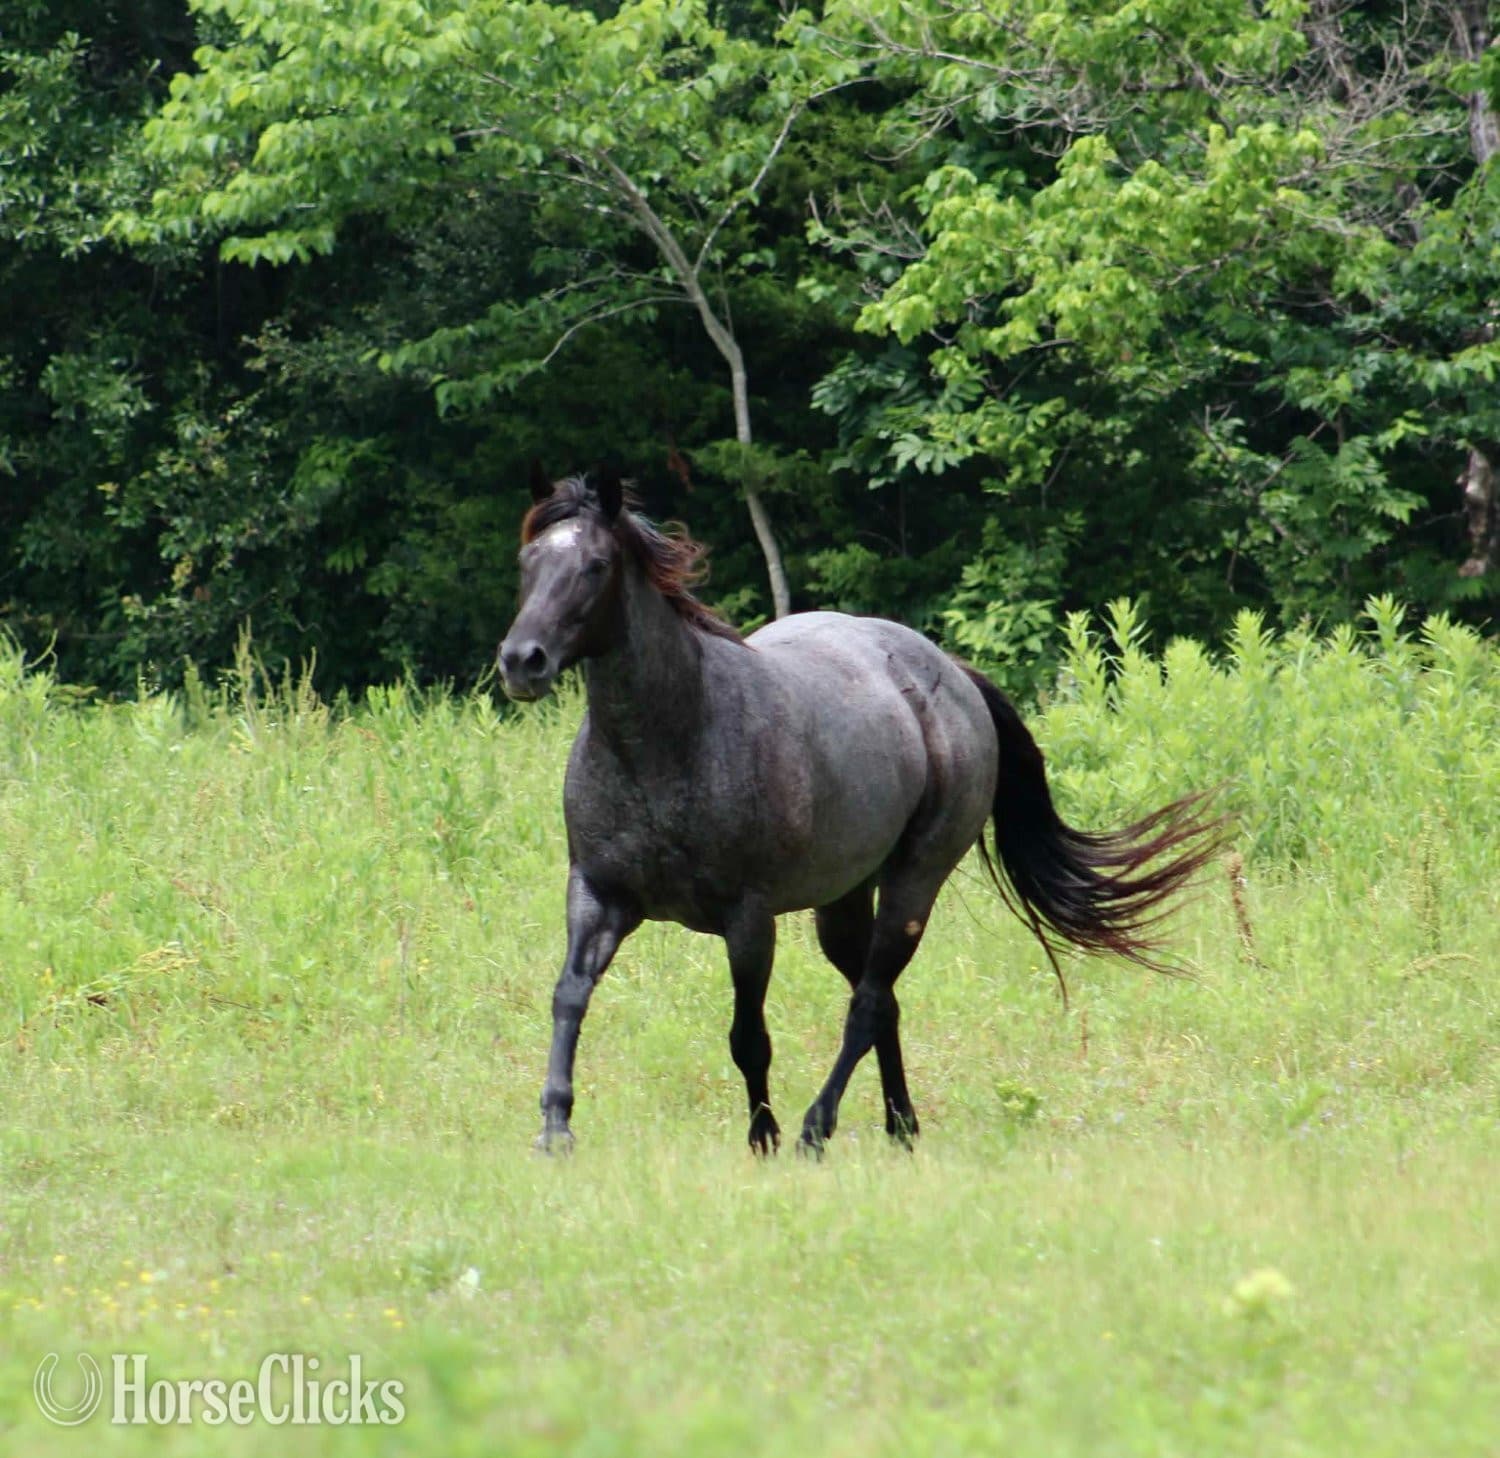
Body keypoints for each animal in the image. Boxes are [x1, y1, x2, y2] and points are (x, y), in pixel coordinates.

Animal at [498, 465, 1222, 1155]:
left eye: (595, 565)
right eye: (528, 561)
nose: (521, 661)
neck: (666, 744)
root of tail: (951, 674)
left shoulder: (747, 919)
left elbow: (748, 1037)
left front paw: (764, 1138)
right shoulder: (598, 896)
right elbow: (568, 996)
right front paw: (555, 1128)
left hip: (913, 884)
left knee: (869, 1004)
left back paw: (818, 1129)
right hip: (843, 901)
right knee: (882, 1001)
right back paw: (901, 1126)